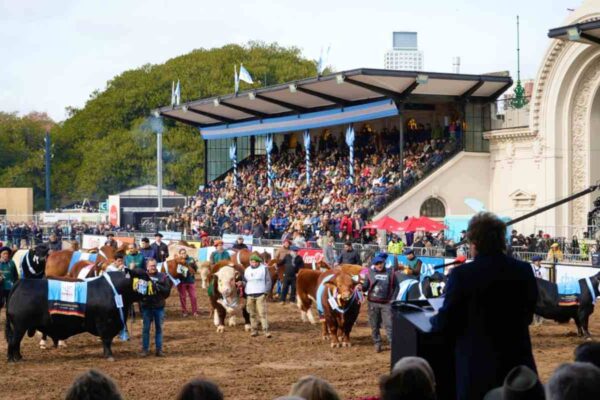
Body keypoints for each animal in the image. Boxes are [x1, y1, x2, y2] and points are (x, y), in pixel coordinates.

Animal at [5, 270, 148, 362]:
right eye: (146, 277)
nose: (155, 283)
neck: (115, 290)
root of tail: (21, 282)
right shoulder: (105, 323)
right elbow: (107, 341)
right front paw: (109, 356)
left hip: (20, 327)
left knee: (16, 342)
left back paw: (18, 357)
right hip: (19, 326)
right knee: (13, 341)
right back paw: (12, 359)